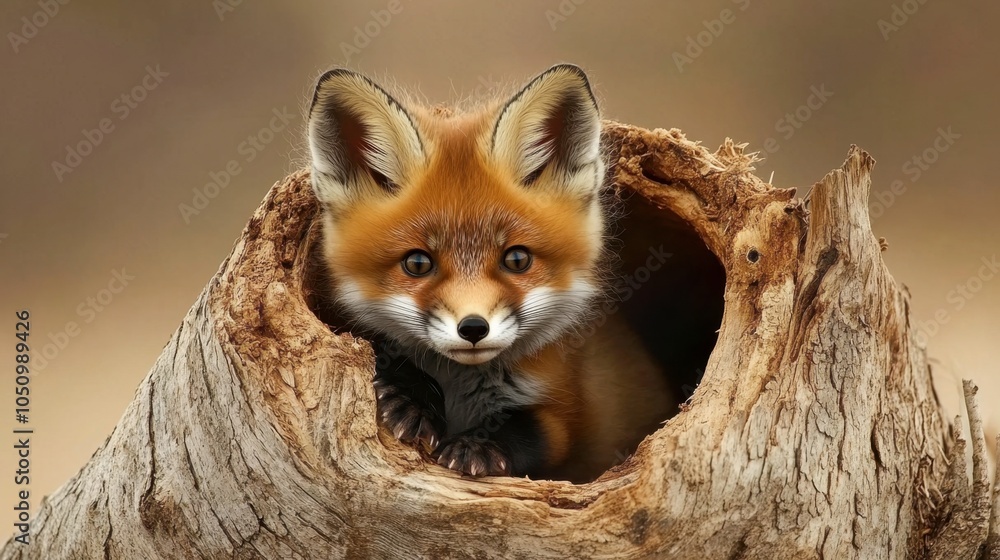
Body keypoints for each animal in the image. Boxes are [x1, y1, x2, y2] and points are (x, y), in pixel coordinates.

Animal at [306, 64, 675, 482]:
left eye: (516, 260)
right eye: (417, 263)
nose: (472, 328)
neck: (460, 386)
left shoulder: (569, 405)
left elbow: (534, 430)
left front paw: (477, 446)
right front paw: (409, 396)